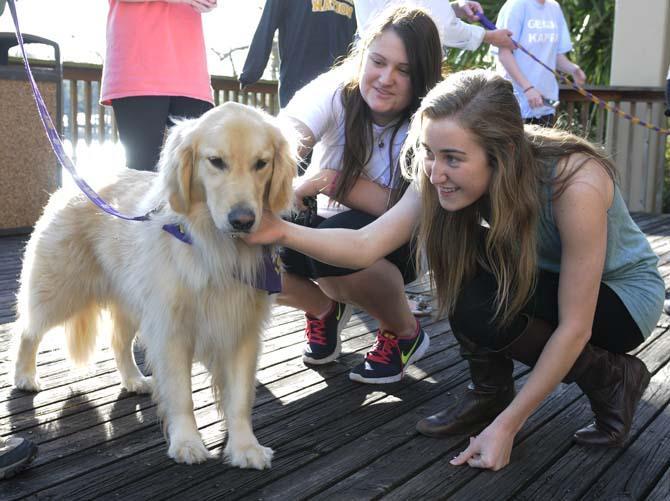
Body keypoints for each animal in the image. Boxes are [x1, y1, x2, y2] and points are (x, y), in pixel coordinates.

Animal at [11, 101, 296, 468]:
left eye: (261, 164)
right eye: (216, 161)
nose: (243, 220)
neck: (213, 246)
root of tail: (77, 181)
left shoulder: (240, 330)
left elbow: (239, 398)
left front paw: (245, 447)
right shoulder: (170, 329)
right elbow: (181, 394)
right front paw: (187, 442)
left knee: (118, 343)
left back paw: (133, 379)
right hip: (60, 290)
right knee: (28, 330)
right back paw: (24, 375)